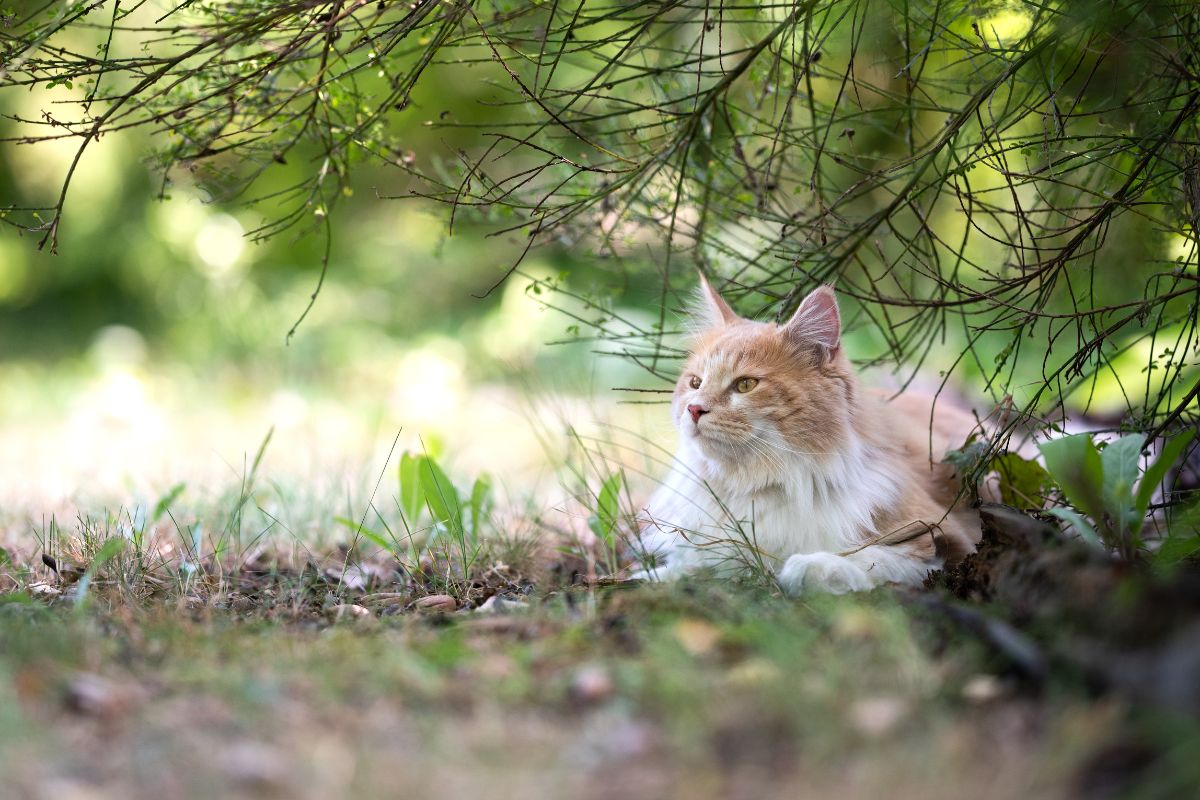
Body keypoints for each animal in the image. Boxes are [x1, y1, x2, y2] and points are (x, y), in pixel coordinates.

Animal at [633, 275, 979, 594]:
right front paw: (653, 578)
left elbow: (872, 558)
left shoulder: (938, 536)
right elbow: (696, 563)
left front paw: (810, 567)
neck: (755, 487)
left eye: (745, 385)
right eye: (695, 383)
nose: (694, 409)